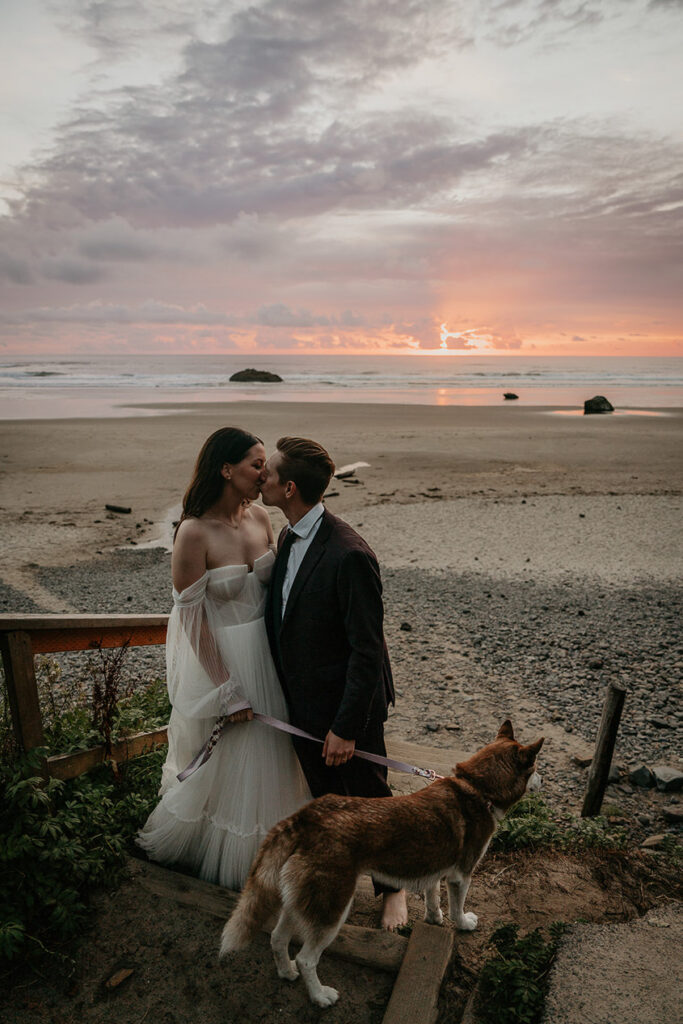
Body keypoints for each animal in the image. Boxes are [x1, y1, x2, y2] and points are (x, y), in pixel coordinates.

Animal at [222, 724, 540, 1003]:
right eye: (537, 768)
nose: (544, 780)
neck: (476, 788)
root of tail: (305, 818)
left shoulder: (436, 866)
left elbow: (432, 897)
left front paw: (434, 917)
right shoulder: (461, 875)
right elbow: (457, 908)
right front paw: (462, 923)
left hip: (302, 900)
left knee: (277, 939)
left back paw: (286, 972)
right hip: (332, 909)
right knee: (306, 959)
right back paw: (320, 995)